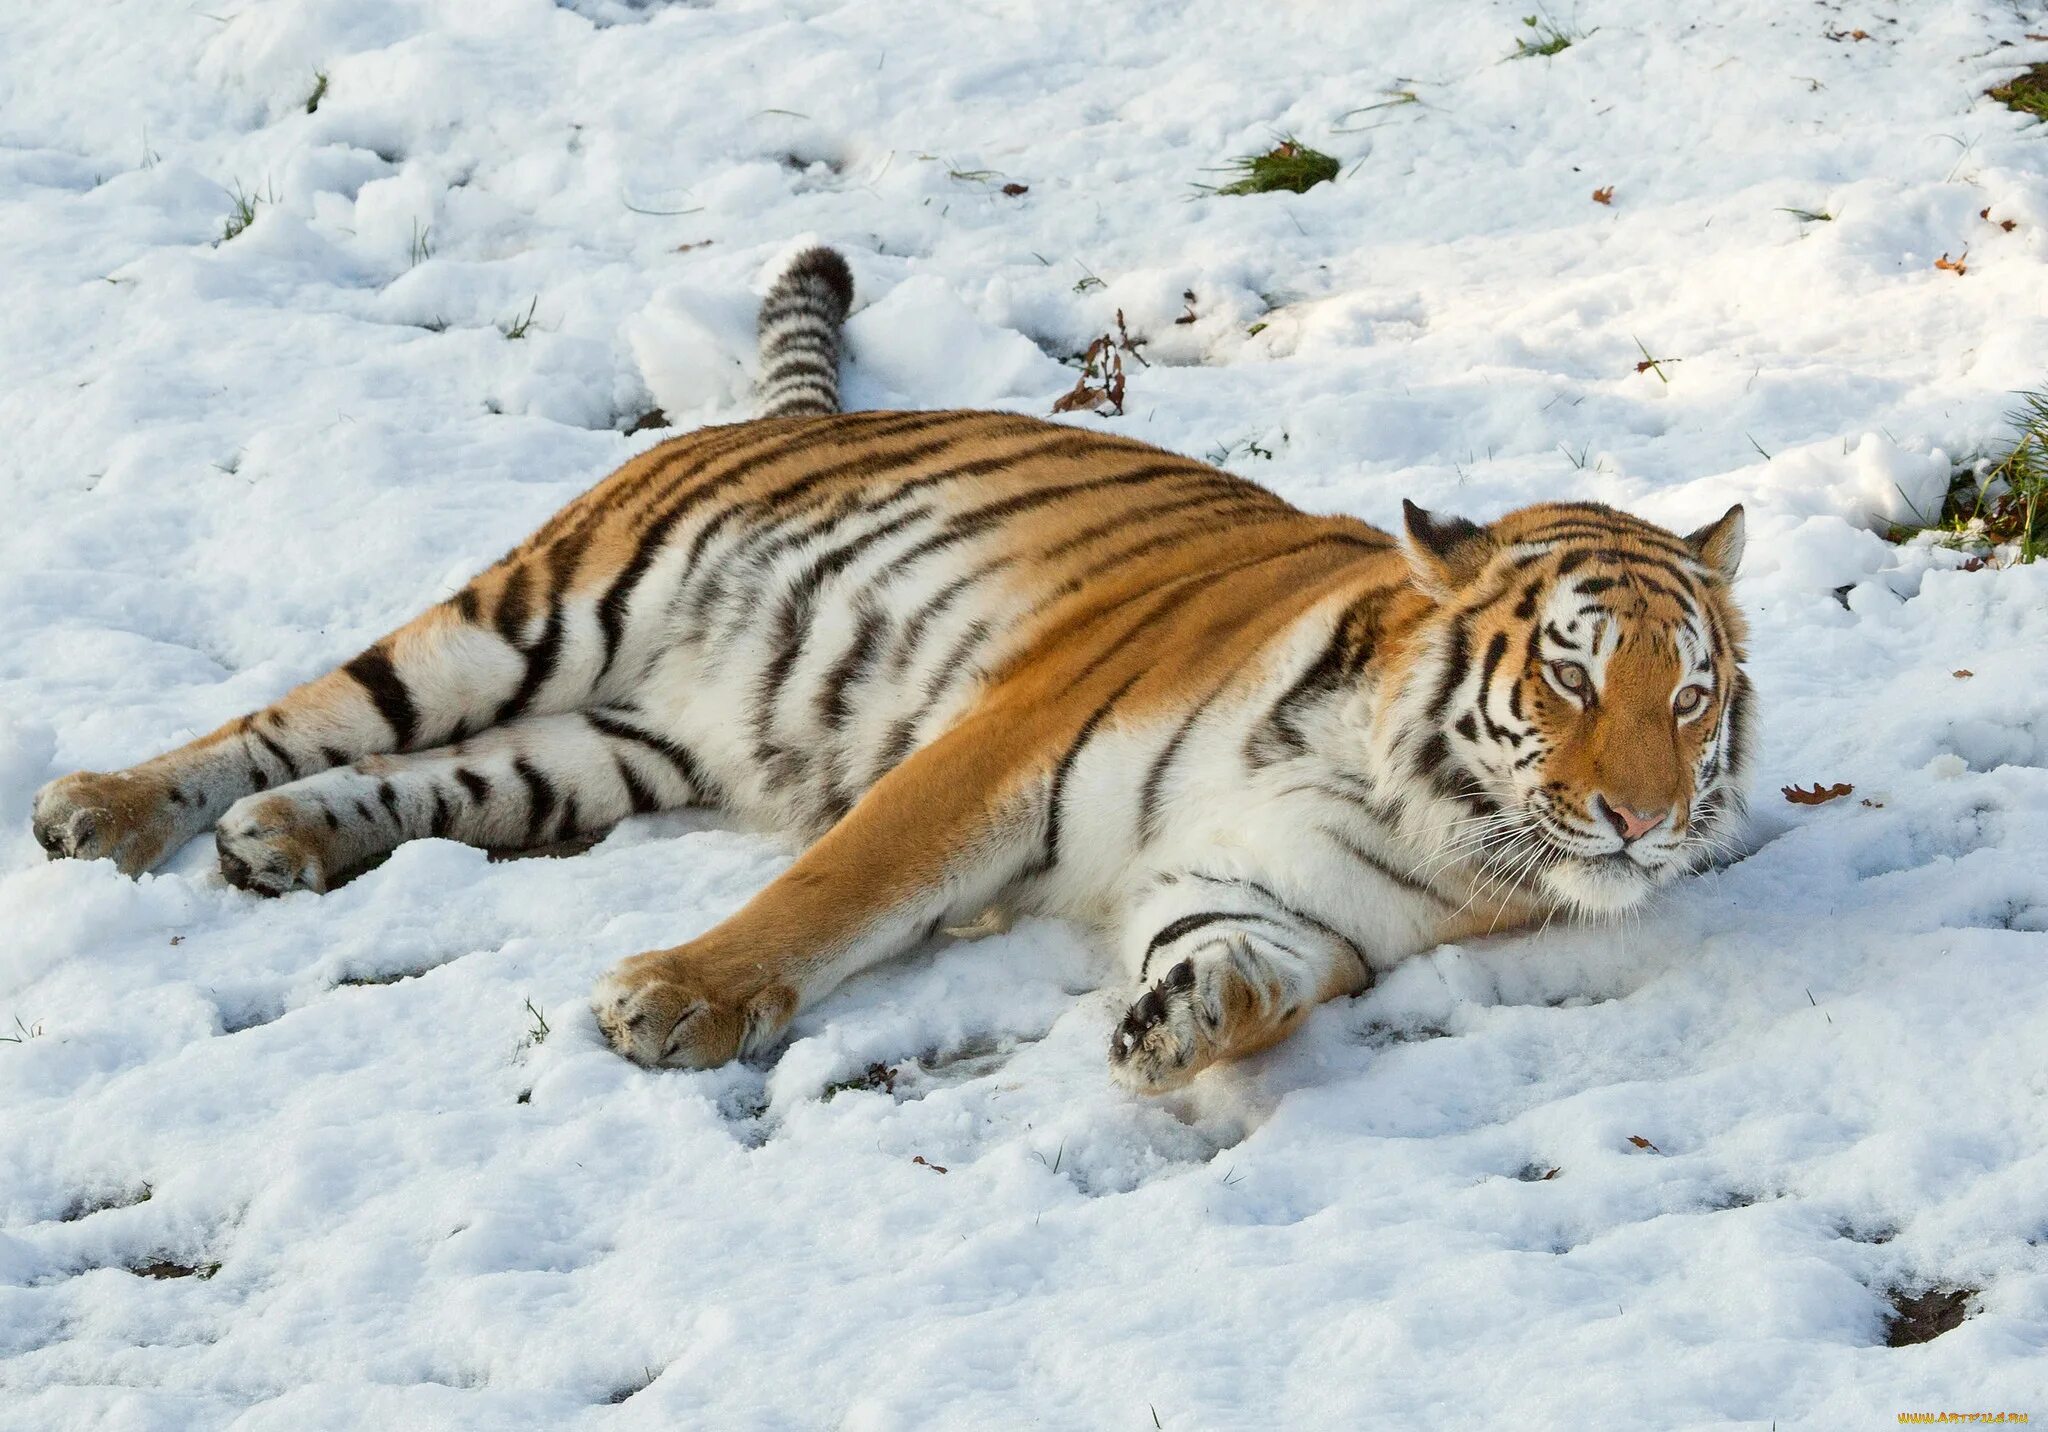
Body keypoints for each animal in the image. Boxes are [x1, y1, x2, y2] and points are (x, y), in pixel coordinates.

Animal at [32, 246, 1744, 1098]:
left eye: (1690, 698)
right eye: (1573, 679)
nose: (1647, 822)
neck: (1412, 802)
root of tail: (797, 415)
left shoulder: (1286, 907)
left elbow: (1250, 977)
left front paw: (1180, 1025)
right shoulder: (1001, 748)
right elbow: (835, 889)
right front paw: (674, 1000)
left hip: (610, 752)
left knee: (419, 778)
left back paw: (283, 842)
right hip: (532, 611)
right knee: (283, 719)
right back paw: (106, 809)